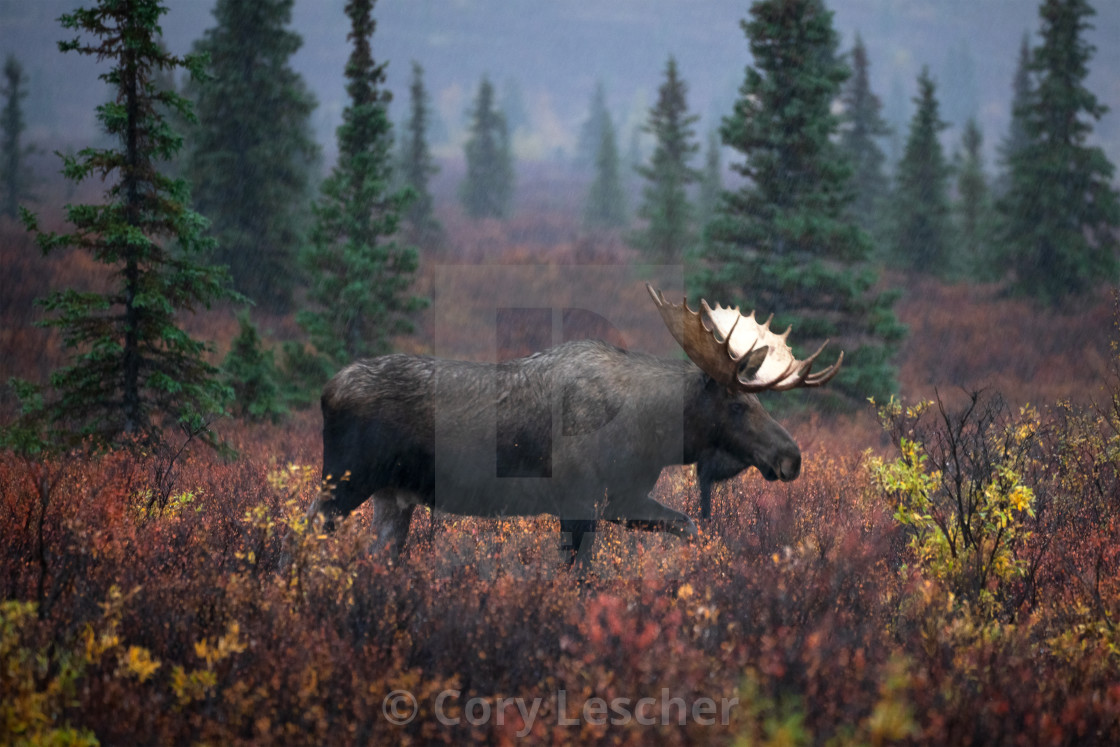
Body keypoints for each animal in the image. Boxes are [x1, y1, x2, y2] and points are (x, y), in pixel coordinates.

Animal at [306, 286, 842, 566]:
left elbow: (688, 526)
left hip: (393, 495)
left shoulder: (622, 500)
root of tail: (327, 391)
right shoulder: (579, 500)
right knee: (304, 531)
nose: (791, 456)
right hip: (345, 480)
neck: (653, 435)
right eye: (736, 405)